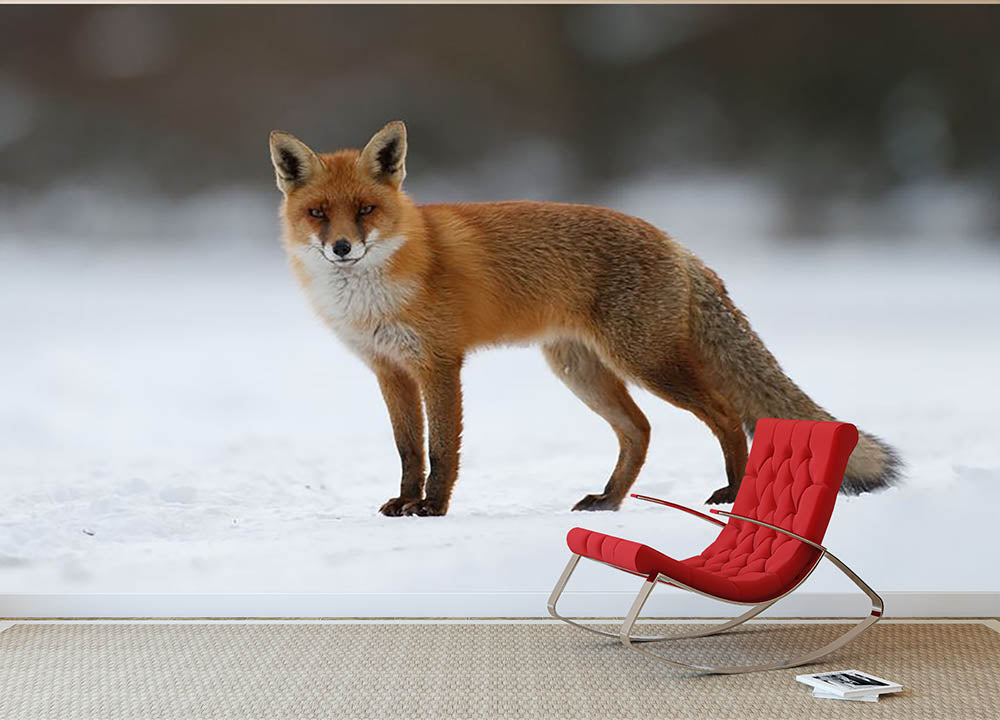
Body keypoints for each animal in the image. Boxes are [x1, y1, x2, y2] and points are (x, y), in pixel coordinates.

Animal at [269, 120, 901, 517]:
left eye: (366, 210)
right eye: (319, 213)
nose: (343, 248)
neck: (371, 295)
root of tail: (677, 244)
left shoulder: (440, 363)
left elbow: (443, 450)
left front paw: (434, 507)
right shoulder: (389, 370)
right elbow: (409, 451)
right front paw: (405, 502)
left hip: (646, 362)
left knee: (722, 413)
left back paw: (733, 491)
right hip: (581, 371)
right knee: (640, 430)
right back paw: (609, 500)